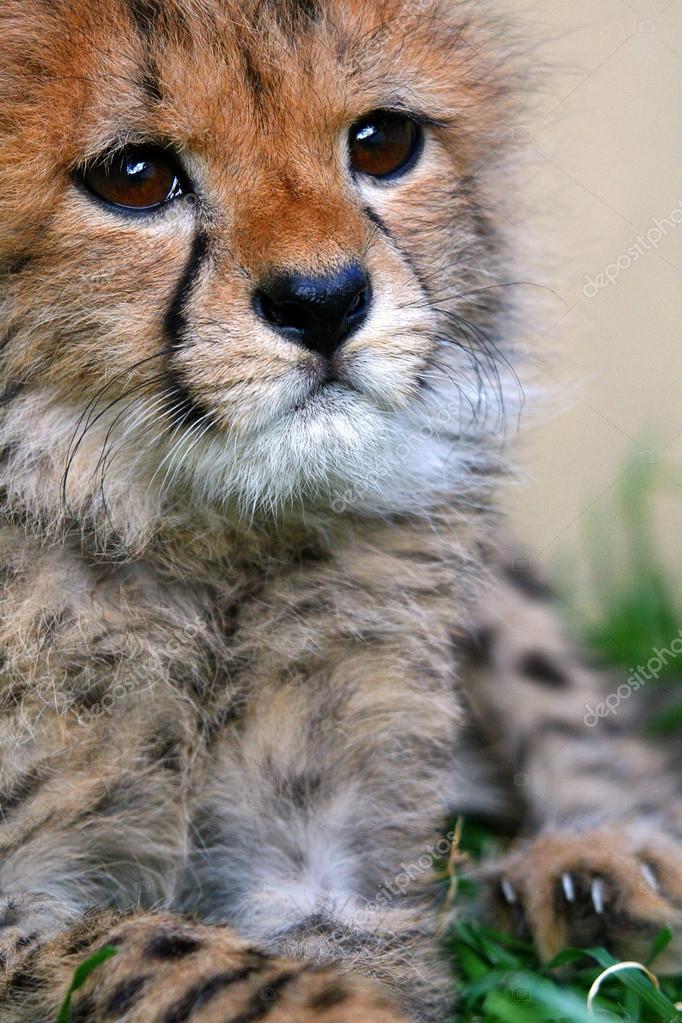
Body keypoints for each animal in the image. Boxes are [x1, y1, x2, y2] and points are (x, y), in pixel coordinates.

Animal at [0, 1, 681, 1021]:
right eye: (135, 176)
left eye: (383, 140)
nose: (323, 303)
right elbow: (172, 952)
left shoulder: (322, 846)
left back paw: (601, 864)